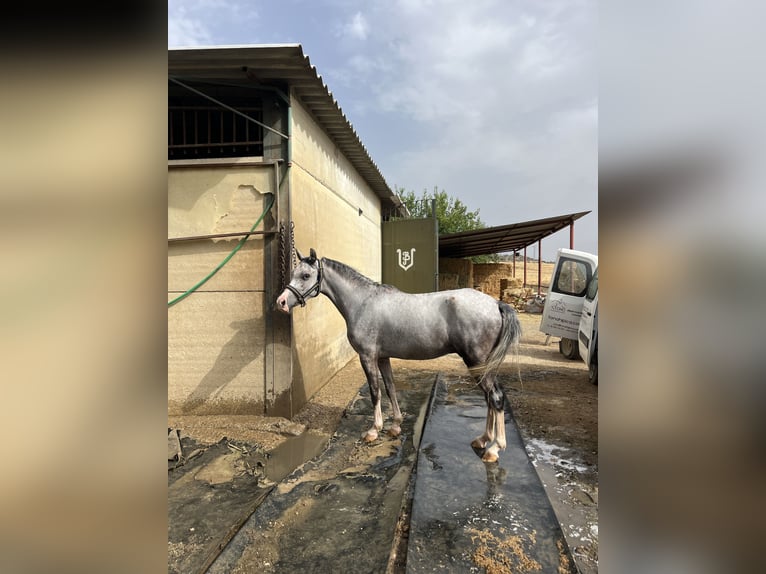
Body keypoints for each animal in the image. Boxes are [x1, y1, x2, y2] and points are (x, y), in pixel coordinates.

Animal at [276, 248, 521, 462]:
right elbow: (390, 387)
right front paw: (395, 426)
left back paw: (494, 449)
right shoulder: (383, 358)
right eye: (294, 273)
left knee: (496, 398)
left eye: (306, 275)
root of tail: (495, 304)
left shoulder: (367, 356)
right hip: (483, 365)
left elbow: (375, 391)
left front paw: (374, 430)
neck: (363, 302)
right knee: (490, 398)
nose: (281, 302)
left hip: (476, 361)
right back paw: (483, 439)